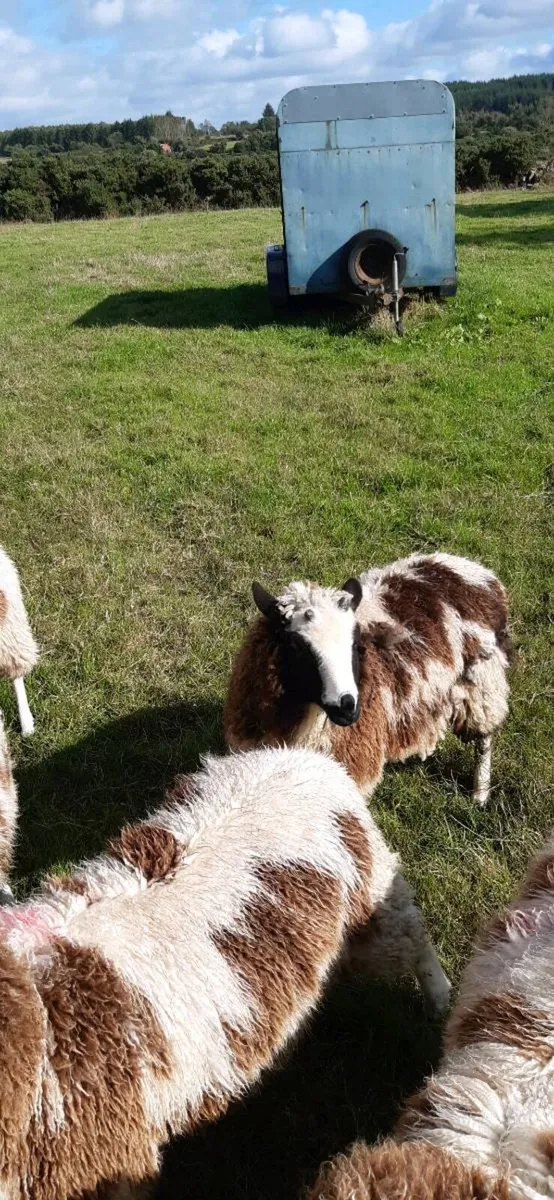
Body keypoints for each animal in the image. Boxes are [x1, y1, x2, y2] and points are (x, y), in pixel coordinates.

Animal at [224, 552, 512, 807]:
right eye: (296, 647)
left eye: (356, 643)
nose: (347, 706)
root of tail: (469, 568)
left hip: (482, 683)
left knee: (484, 740)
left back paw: (479, 794)